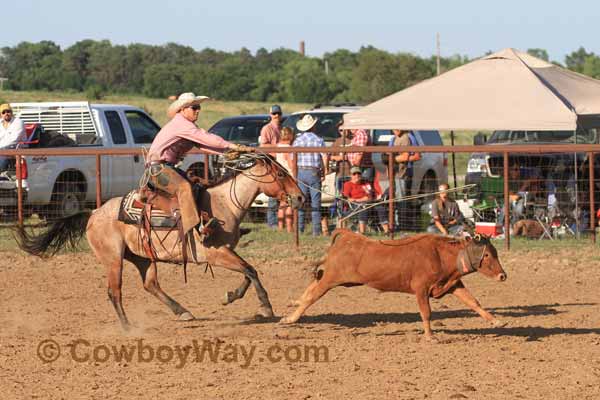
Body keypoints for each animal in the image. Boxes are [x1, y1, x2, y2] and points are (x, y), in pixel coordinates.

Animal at [15, 155, 304, 330]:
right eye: (280, 174)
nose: (300, 198)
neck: (223, 204)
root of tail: (94, 213)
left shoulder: (227, 252)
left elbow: (247, 272)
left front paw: (231, 296)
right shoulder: (216, 254)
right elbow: (251, 270)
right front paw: (265, 307)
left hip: (143, 257)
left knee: (150, 284)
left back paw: (182, 311)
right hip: (113, 259)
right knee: (114, 291)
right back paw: (128, 328)